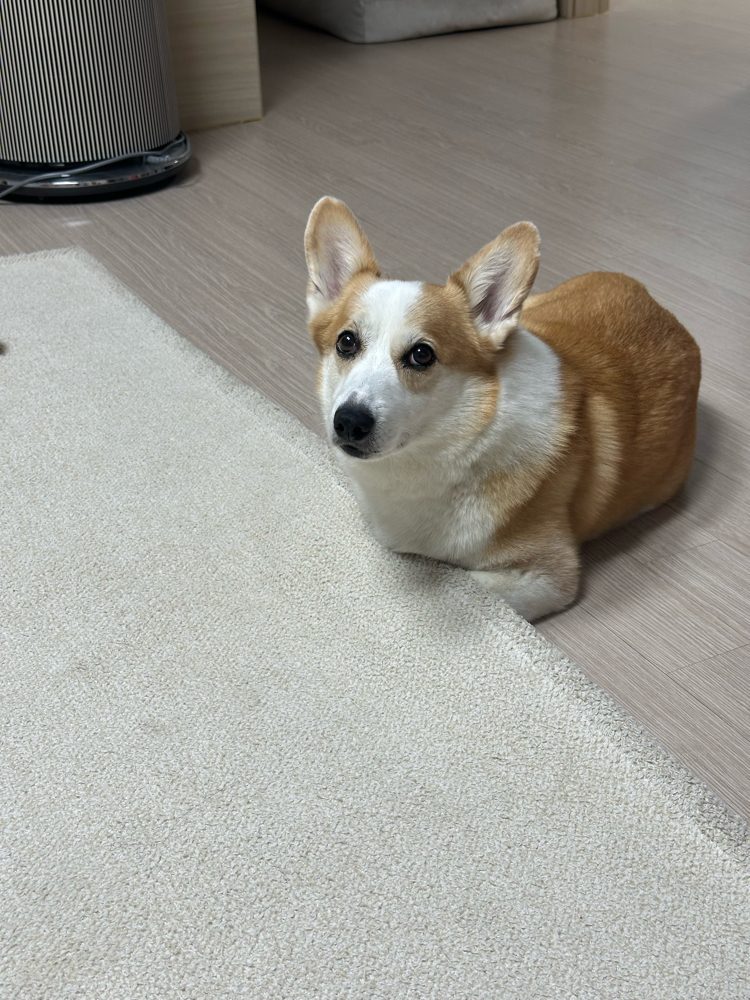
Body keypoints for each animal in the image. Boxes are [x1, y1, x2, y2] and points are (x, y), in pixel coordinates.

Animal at [304, 197, 701, 621]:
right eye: (346, 342)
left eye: (422, 355)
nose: (349, 422)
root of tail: (662, 310)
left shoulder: (547, 577)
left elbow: (470, 587)